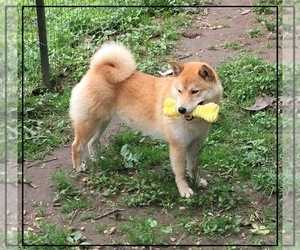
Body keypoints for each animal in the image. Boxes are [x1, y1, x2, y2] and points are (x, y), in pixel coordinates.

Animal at [69, 41, 221, 197]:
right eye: (179, 91)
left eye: (194, 91)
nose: (181, 109)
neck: (195, 122)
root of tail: (98, 69)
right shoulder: (178, 147)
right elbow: (180, 173)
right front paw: (184, 189)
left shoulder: (195, 144)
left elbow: (192, 167)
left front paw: (196, 181)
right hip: (89, 123)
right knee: (77, 145)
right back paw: (78, 167)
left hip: (102, 123)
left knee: (91, 143)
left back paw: (97, 160)